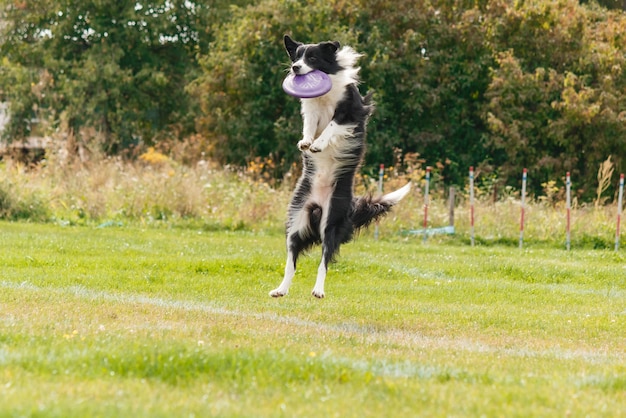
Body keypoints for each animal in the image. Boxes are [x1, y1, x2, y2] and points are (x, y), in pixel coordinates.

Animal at [270, 36, 410, 298]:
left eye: (312, 57)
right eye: (296, 57)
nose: (295, 68)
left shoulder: (352, 112)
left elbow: (332, 126)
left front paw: (318, 145)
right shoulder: (311, 111)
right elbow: (309, 126)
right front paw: (306, 142)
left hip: (331, 223)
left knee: (323, 262)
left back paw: (318, 290)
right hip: (296, 220)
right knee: (291, 261)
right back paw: (281, 290)